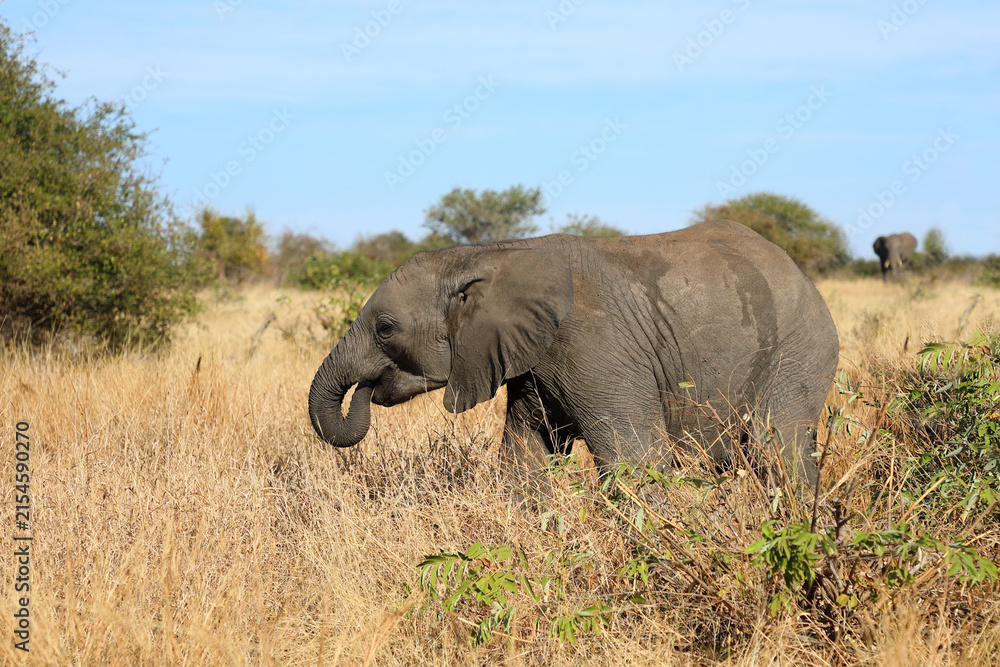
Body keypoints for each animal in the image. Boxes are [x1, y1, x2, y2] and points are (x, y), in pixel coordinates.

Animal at [308, 219, 840, 494]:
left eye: (385, 329)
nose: (367, 389)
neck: (486, 255)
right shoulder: (533, 357)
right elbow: (526, 458)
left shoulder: (594, 345)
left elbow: (636, 460)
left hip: (799, 352)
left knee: (778, 450)